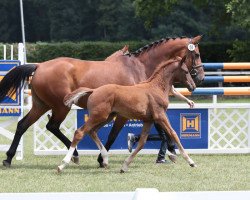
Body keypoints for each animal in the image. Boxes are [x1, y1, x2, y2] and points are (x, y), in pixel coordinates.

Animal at [58, 56, 197, 173]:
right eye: (185, 71)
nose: (193, 86)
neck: (157, 87)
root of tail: (94, 90)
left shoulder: (148, 120)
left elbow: (142, 142)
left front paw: (124, 166)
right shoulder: (160, 115)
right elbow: (173, 134)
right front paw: (191, 162)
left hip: (107, 117)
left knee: (92, 132)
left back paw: (105, 160)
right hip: (98, 116)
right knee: (80, 132)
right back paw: (63, 164)